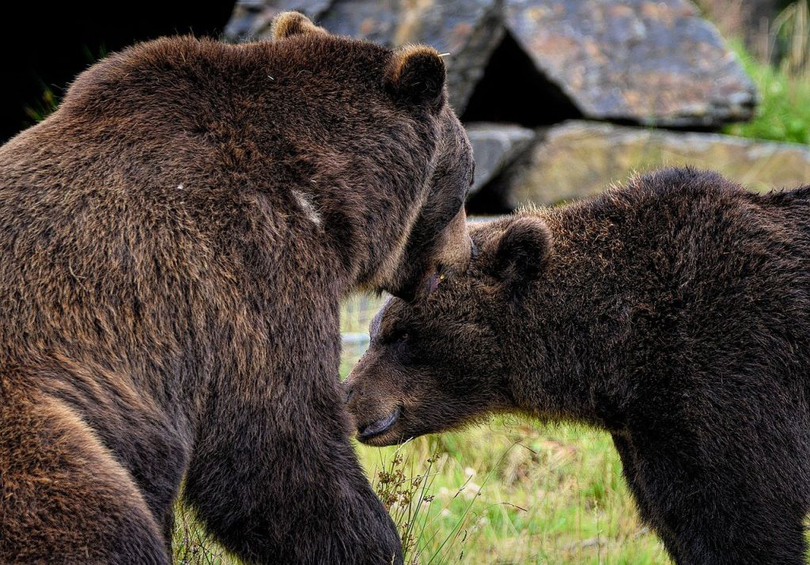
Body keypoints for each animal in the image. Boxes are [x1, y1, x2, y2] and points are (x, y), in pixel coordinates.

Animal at [0, 9, 474, 564]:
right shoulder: (248, 276)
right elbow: (278, 449)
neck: (327, 199)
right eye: (466, 182)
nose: (467, 254)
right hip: (42, 432)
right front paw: (377, 545)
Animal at [344, 169, 808, 564]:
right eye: (375, 329)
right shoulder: (646, 435)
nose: (348, 396)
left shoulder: (734, 379)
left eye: (403, 334)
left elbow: (743, 520)